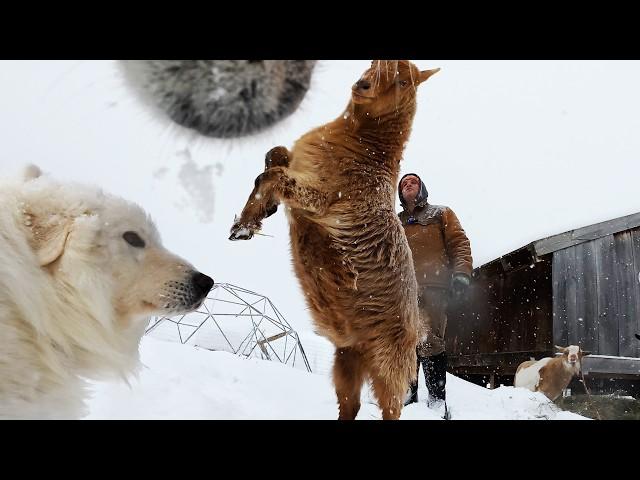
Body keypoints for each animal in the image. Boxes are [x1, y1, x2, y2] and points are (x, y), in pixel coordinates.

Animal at [230, 61, 440, 420]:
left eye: (403, 81)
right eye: (374, 63)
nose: (362, 86)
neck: (363, 151)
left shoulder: (320, 199)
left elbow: (276, 176)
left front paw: (246, 224)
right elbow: (275, 156)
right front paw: (253, 216)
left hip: (389, 368)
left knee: (390, 409)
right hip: (346, 359)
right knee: (350, 404)